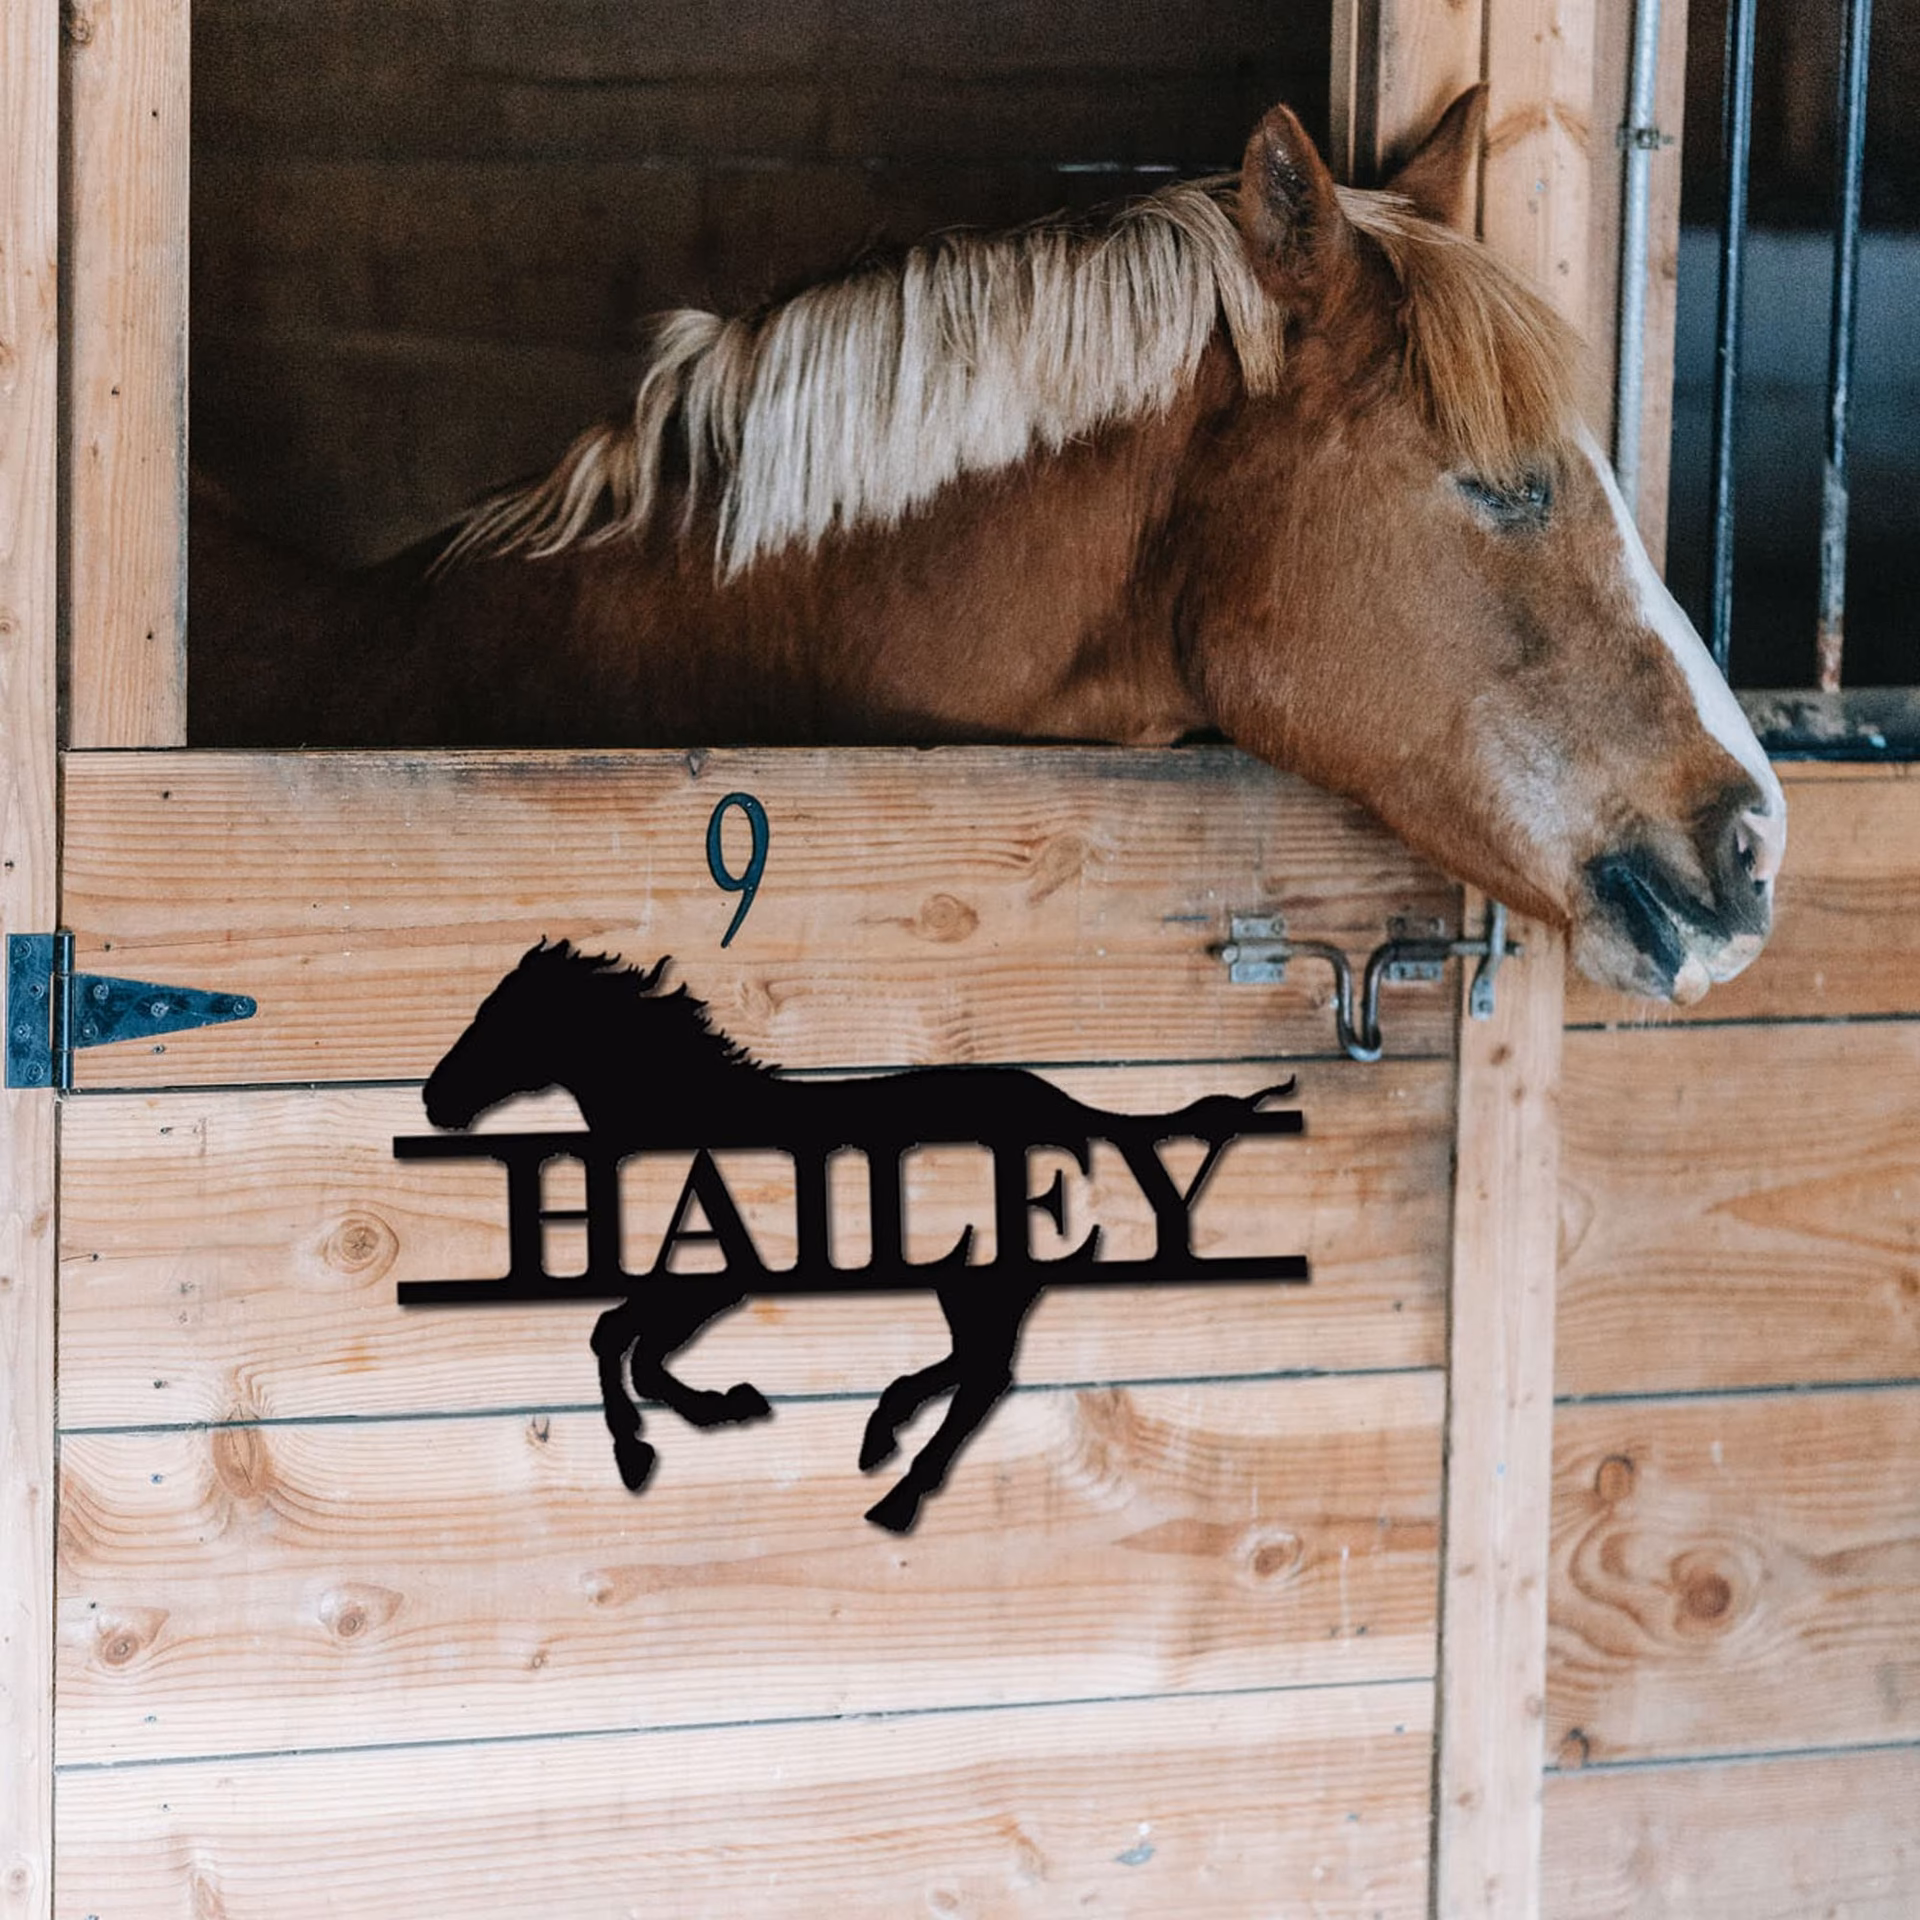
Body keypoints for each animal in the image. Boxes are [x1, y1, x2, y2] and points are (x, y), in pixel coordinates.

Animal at [422, 940, 1303, 1532]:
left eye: (503, 1021)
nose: (434, 1098)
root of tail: (1068, 1110)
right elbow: (626, 1344)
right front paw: (709, 1417)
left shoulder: (716, 1277)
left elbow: (624, 1344)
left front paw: (661, 1441)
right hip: (976, 1280)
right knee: (978, 1368)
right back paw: (881, 1438)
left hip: (982, 1278)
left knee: (983, 1376)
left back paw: (895, 1489)